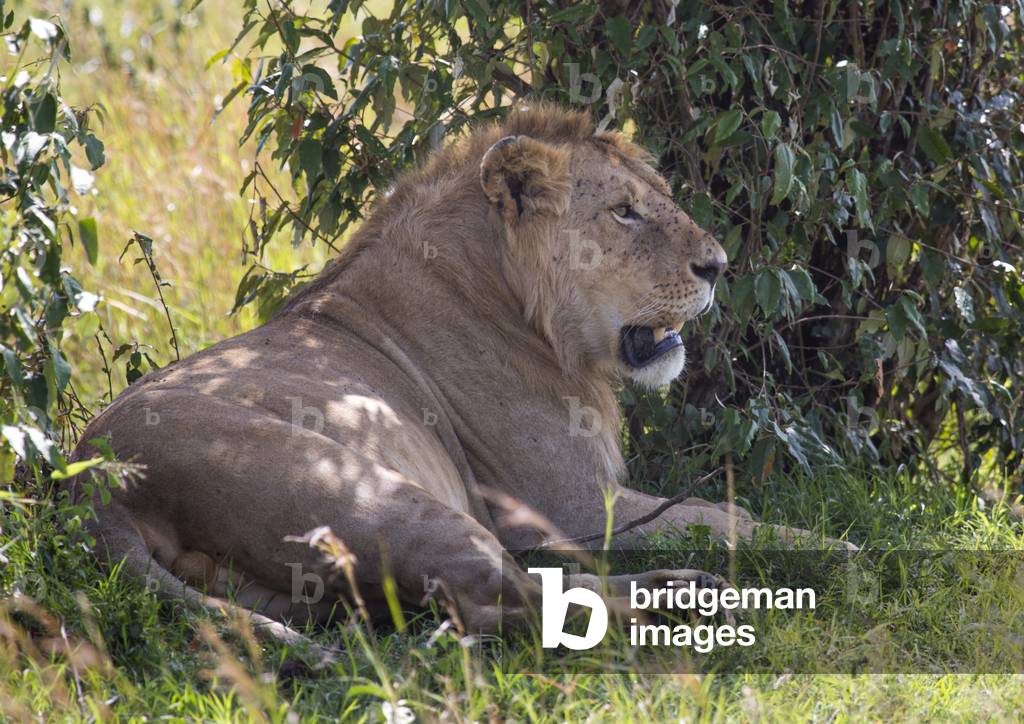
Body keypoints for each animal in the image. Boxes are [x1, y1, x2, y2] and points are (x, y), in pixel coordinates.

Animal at [69, 105, 848, 645]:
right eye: (624, 212)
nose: (717, 266)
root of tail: (93, 492)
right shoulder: (569, 505)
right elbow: (728, 516)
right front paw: (835, 546)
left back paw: (687, 586)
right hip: (370, 491)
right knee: (505, 601)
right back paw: (687, 605)